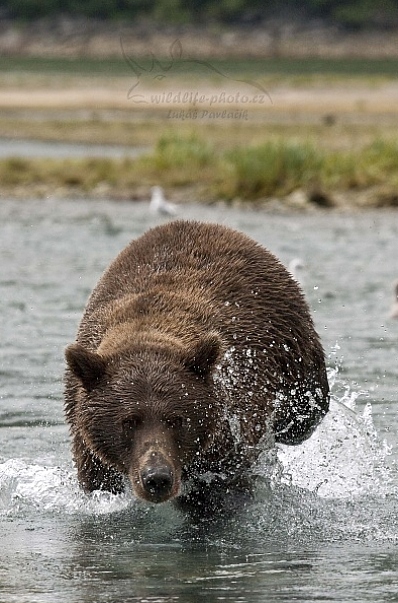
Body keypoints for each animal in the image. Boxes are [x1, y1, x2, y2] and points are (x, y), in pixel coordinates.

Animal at [63, 219, 328, 512]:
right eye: (129, 421)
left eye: (176, 419)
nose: (157, 478)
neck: (148, 331)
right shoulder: (90, 445)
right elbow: (100, 483)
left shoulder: (228, 431)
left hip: (291, 346)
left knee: (303, 416)